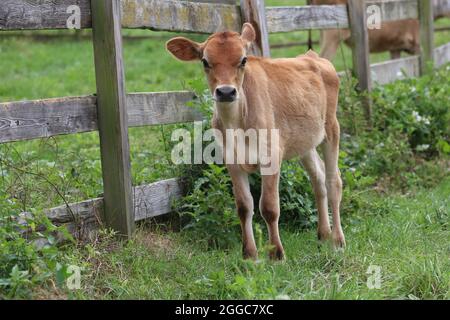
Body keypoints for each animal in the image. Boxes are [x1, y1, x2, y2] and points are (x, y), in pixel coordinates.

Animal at [166, 24, 344, 260]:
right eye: (205, 61)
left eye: (243, 60)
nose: (225, 92)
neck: (236, 123)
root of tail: (312, 57)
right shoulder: (231, 160)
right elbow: (243, 206)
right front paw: (249, 254)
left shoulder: (271, 156)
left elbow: (269, 207)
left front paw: (276, 253)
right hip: (304, 143)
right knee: (318, 180)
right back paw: (323, 234)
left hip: (331, 128)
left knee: (333, 182)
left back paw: (338, 241)